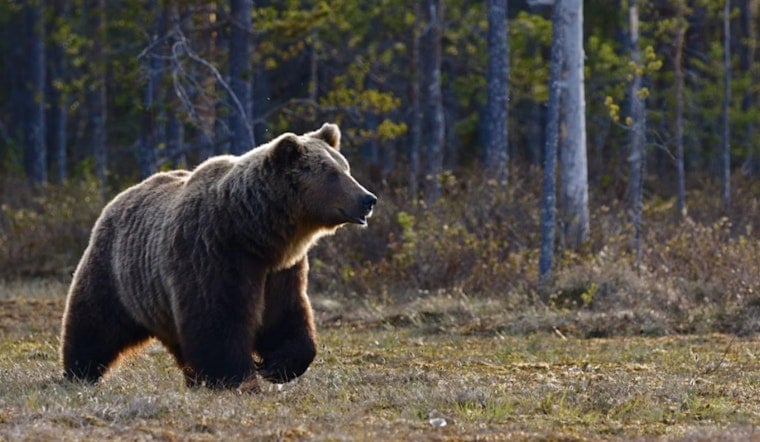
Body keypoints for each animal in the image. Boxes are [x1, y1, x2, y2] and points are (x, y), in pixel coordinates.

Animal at [60, 123, 376, 391]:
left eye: (345, 167)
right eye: (331, 173)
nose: (368, 199)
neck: (254, 232)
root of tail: (119, 197)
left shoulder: (281, 270)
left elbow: (286, 315)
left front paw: (276, 366)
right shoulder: (214, 253)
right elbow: (218, 318)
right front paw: (237, 378)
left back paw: (192, 378)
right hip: (116, 273)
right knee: (94, 322)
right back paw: (79, 372)